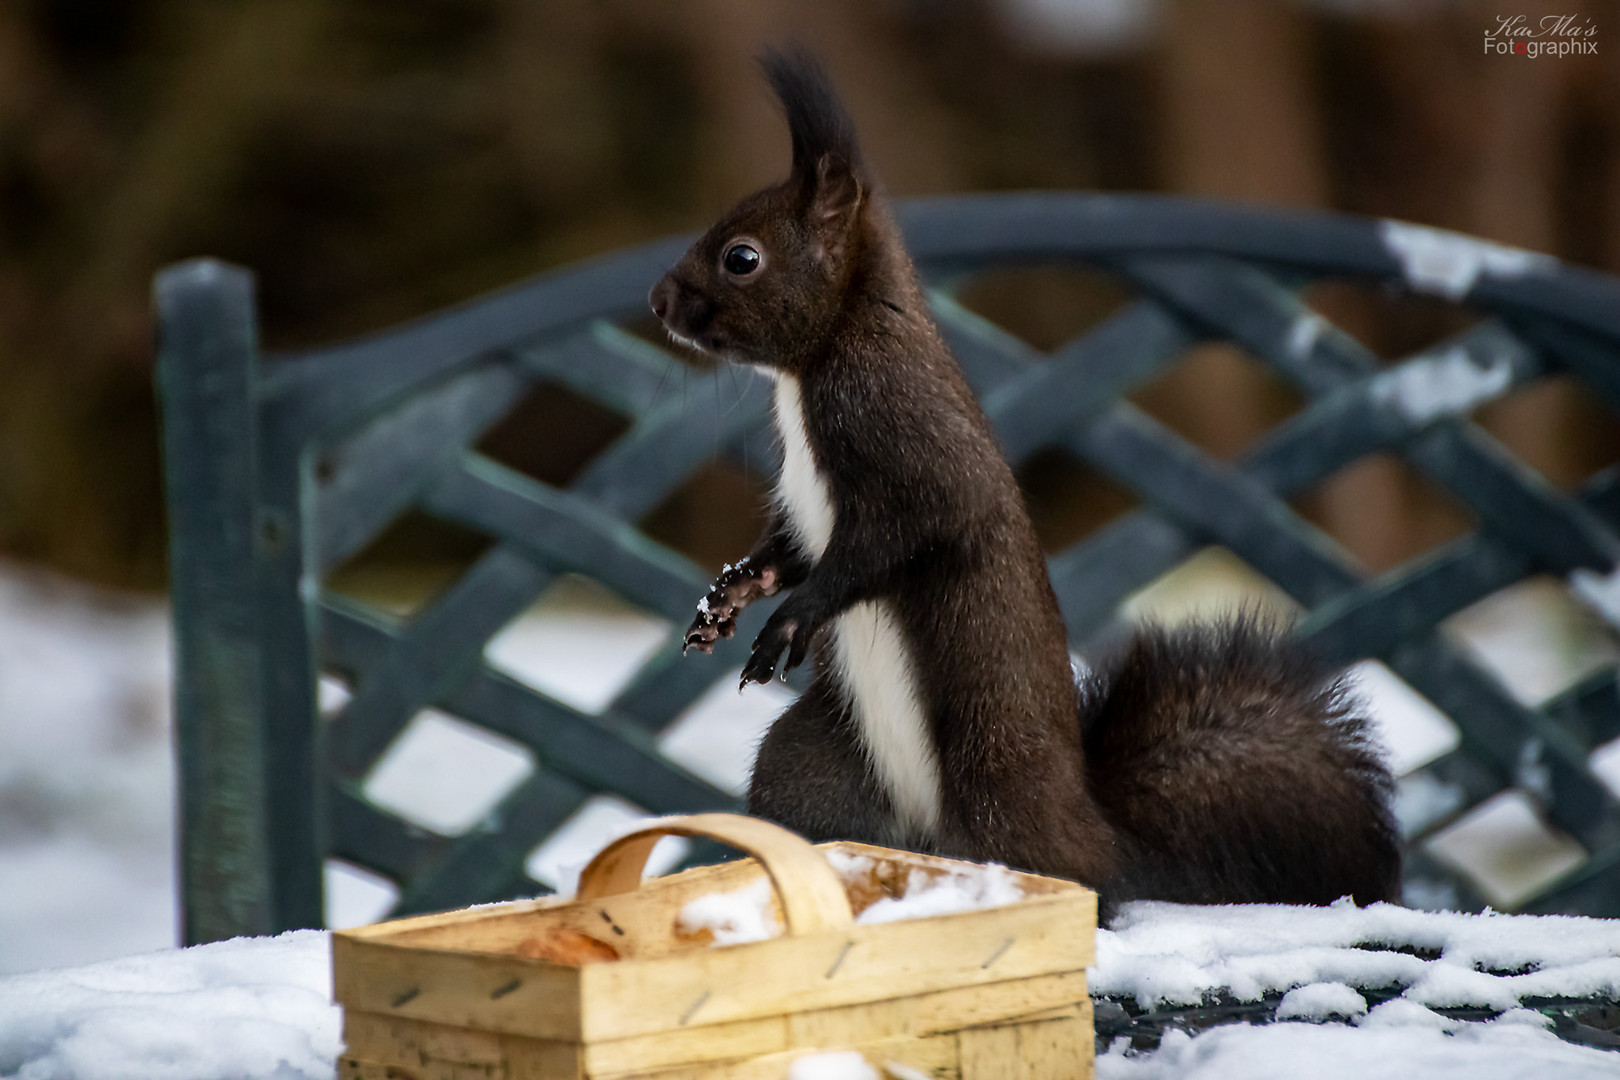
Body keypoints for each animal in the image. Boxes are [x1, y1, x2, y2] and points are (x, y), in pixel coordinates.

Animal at [641, 48, 1393, 913]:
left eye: (743, 257)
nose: (657, 300)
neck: (815, 368)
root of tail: (1102, 839)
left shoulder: (906, 437)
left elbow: (900, 537)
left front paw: (792, 619)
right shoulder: (808, 502)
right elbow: (789, 550)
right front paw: (728, 595)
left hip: (994, 779)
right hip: (817, 760)